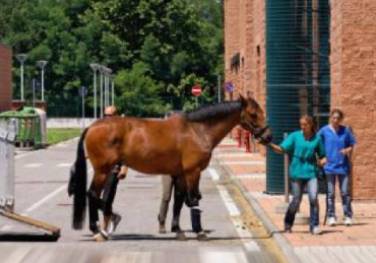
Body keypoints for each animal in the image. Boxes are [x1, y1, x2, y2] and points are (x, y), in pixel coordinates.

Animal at [70, 95, 270, 239]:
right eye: (253, 114)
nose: (268, 136)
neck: (196, 130)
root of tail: (93, 126)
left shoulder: (180, 174)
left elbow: (179, 201)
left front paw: (178, 229)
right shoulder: (192, 172)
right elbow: (194, 199)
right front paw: (199, 231)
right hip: (102, 171)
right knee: (92, 194)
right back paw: (102, 226)